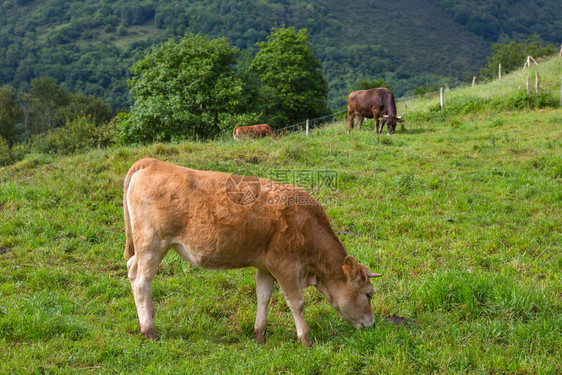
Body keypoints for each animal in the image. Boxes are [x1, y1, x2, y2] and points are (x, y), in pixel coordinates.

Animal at [120, 159, 378, 346]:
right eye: (369, 294)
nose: (373, 324)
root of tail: (151, 162)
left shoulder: (265, 266)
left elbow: (263, 297)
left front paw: (260, 334)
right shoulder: (285, 266)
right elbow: (297, 302)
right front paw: (305, 339)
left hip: (150, 248)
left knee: (132, 270)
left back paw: (149, 315)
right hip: (152, 244)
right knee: (141, 281)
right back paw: (149, 329)